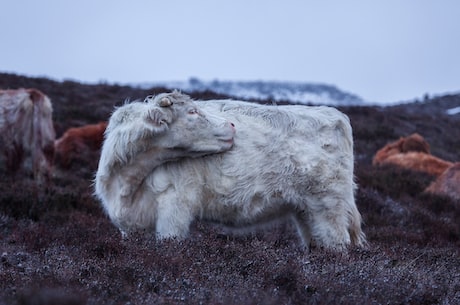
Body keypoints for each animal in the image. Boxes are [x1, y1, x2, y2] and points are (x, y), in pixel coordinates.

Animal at [95, 91, 364, 251]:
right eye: (192, 111)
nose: (231, 125)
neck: (126, 182)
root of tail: (333, 113)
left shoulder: (175, 208)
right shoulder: (130, 226)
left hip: (329, 206)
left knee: (338, 244)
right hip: (306, 211)